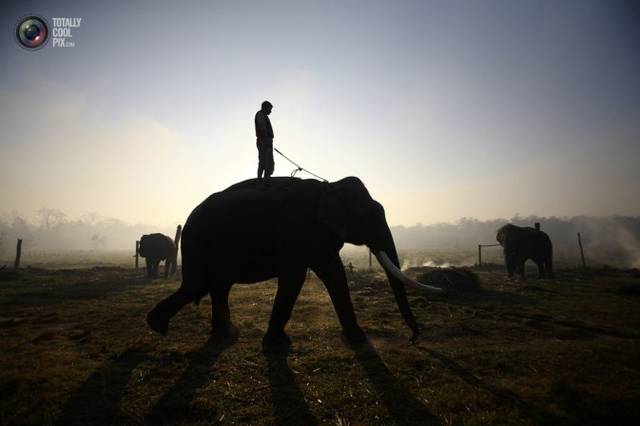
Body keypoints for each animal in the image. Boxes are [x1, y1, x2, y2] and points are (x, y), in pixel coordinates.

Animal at [147, 176, 442, 346]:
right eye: (371, 216)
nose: (413, 339)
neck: (329, 186)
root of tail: (188, 216)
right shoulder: (298, 230)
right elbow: (295, 276)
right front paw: (274, 343)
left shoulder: (319, 238)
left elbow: (334, 274)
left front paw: (358, 338)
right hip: (198, 243)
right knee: (199, 285)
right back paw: (157, 326)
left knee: (218, 286)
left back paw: (225, 334)